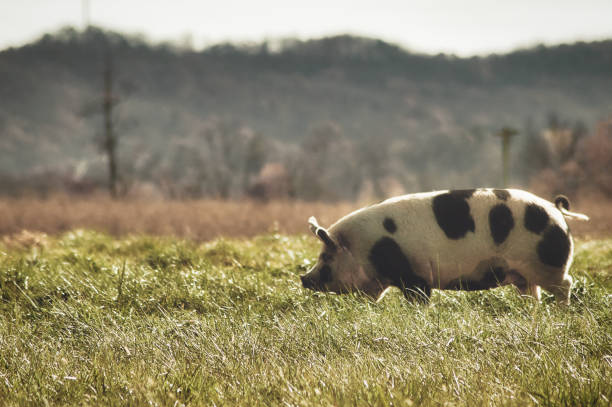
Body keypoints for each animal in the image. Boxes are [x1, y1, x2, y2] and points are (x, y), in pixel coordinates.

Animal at [300, 190, 588, 304]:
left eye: (325, 257)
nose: (303, 278)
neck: (367, 249)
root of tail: (556, 209)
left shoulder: (416, 275)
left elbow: (420, 297)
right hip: (525, 275)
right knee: (532, 293)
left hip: (549, 265)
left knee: (566, 284)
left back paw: (562, 311)